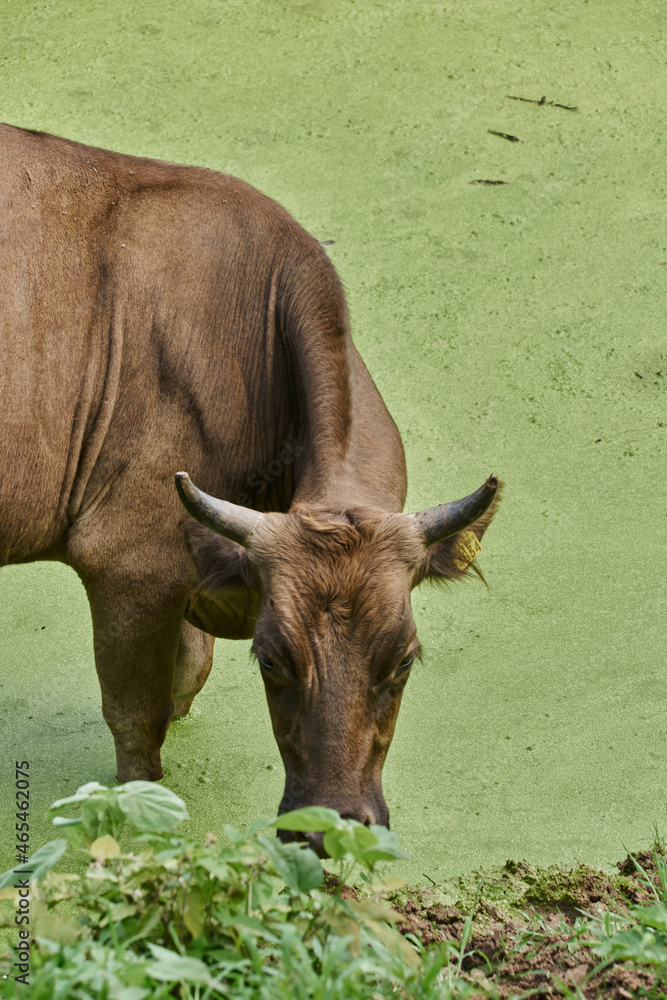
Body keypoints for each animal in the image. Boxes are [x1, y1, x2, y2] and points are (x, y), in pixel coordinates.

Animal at [0, 123, 501, 846]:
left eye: (404, 659)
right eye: (270, 659)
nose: (330, 824)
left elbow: (188, 675)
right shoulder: (128, 560)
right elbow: (136, 729)